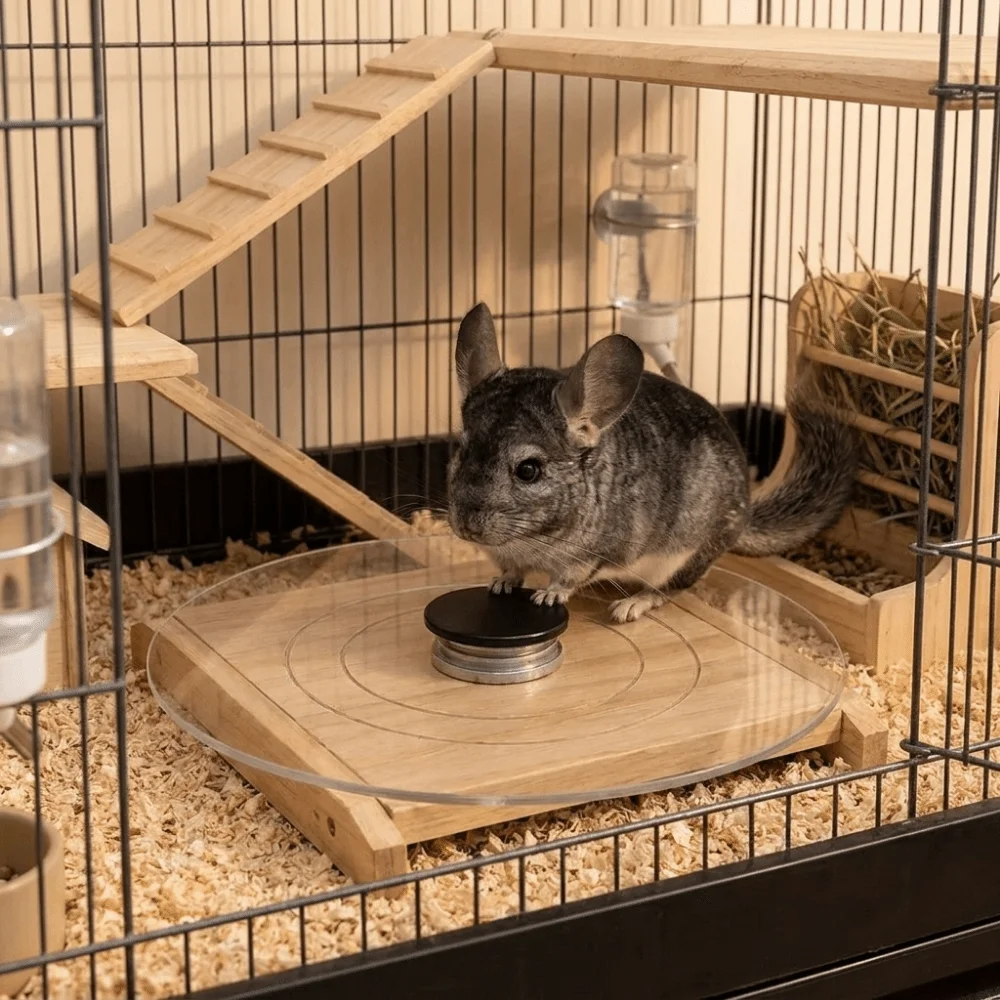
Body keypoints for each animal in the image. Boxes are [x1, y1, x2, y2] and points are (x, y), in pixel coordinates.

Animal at [446, 302, 859, 623]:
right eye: (461, 450)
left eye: (528, 470)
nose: (466, 527)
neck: (530, 538)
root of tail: (745, 507)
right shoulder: (508, 555)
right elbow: (511, 570)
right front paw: (501, 582)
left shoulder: (600, 551)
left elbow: (570, 577)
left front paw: (549, 595)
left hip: (685, 557)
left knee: (670, 589)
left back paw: (631, 605)